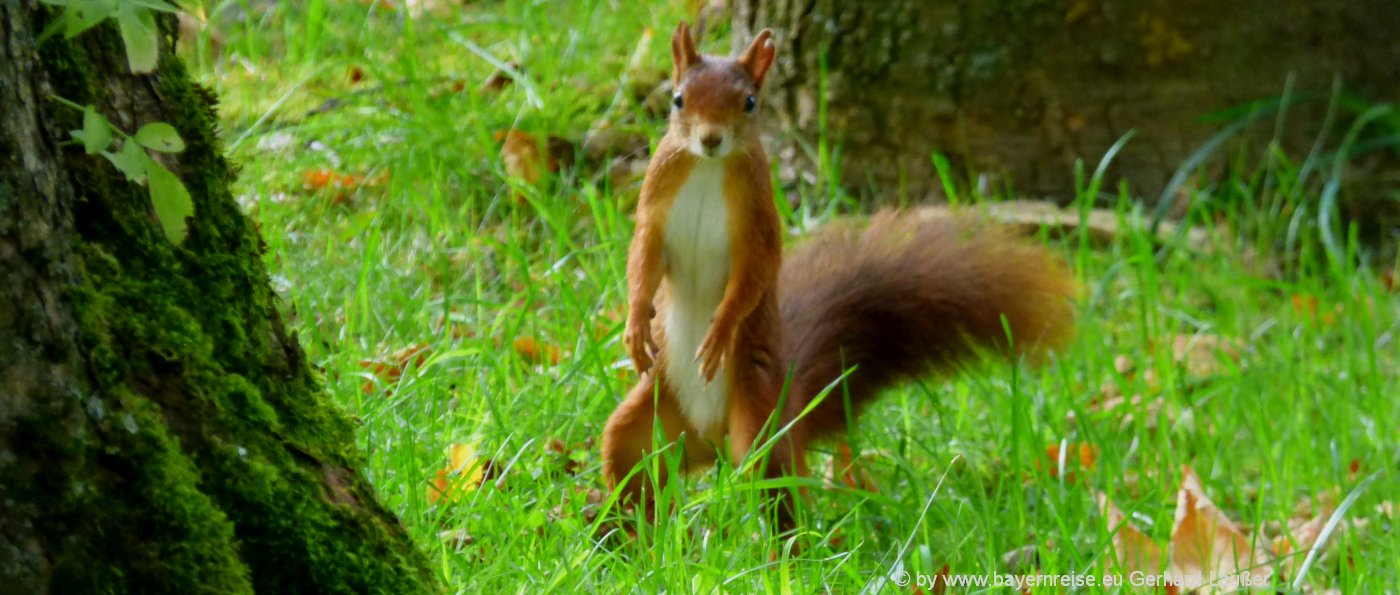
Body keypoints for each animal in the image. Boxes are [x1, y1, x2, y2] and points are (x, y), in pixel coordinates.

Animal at [599, 23, 1069, 523]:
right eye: (678, 98)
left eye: (749, 102)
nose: (711, 139)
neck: (708, 170)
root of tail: (711, 440)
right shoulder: (655, 205)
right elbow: (643, 260)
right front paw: (635, 325)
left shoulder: (758, 223)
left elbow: (753, 276)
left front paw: (720, 331)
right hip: (647, 423)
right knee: (629, 465)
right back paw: (625, 533)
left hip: (759, 425)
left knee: (776, 489)